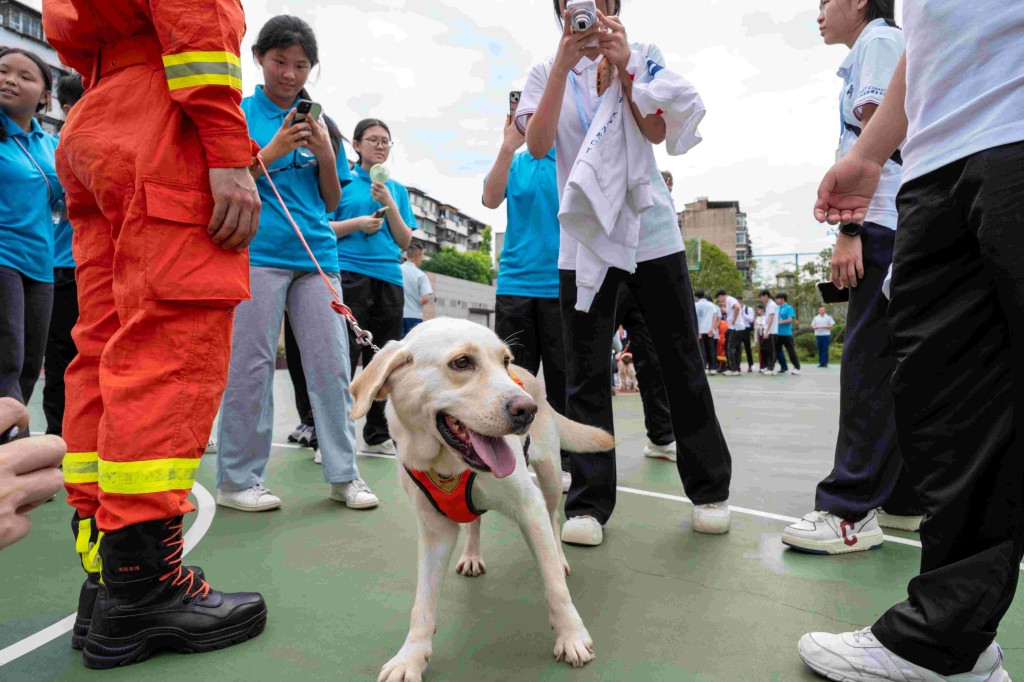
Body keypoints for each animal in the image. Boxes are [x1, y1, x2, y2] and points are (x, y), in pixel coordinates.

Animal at [348, 315, 610, 675]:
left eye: (505, 361)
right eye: (462, 362)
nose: (528, 410)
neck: (446, 465)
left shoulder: (529, 507)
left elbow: (555, 586)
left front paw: (571, 636)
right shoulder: (435, 531)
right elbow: (422, 604)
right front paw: (411, 657)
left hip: (551, 476)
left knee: (554, 517)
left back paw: (559, 556)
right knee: (474, 522)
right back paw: (472, 555)